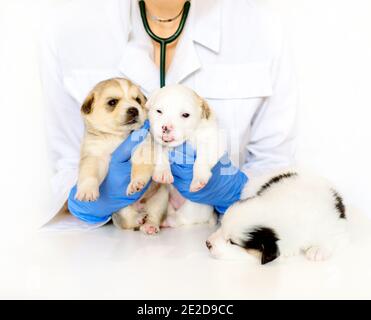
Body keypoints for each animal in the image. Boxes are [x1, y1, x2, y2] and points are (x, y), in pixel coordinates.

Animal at [76, 79, 169, 234]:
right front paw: (87, 191)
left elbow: (139, 169)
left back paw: (149, 225)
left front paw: (136, 183)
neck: (119, 137)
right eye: (112, 102)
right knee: (128, 221)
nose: (134, 109)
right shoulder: (94, 155)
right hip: (121, 208)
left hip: (160, 198)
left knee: (154, 215)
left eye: (137, 100)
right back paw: (138, 218)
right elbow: (89, 174)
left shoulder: (142, 149)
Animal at [206, 169, 348, 264]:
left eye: (232, 242)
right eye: (221, 227)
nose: (208, 243)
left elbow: (331, 235)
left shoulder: (329, 220)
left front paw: (318, 250)